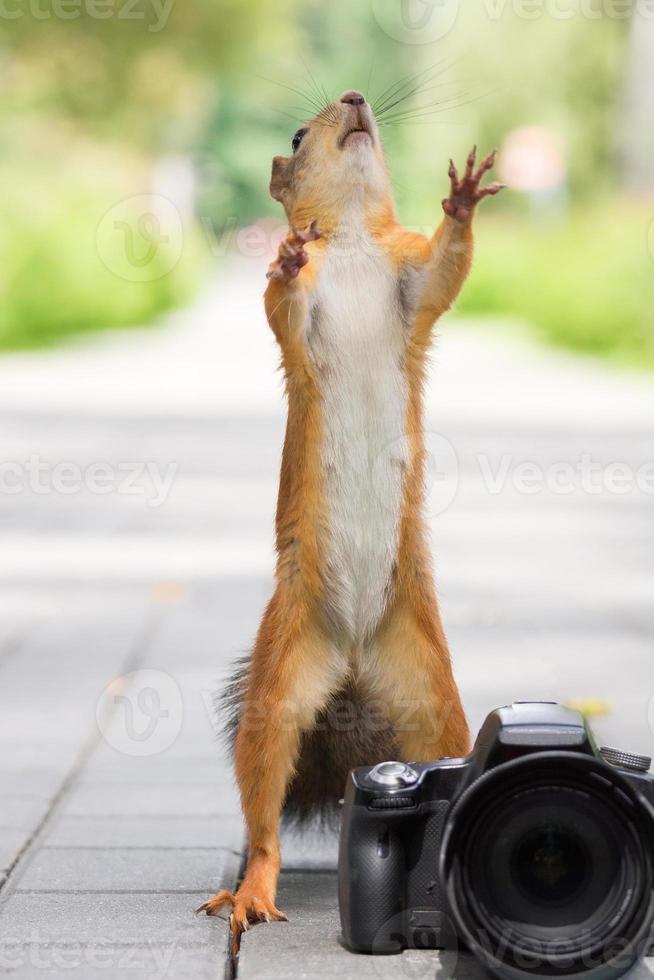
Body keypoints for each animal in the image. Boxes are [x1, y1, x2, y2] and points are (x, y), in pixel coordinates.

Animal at [200, 88, 508, 936]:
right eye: (299, 133)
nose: (356, 99)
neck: (354, 239)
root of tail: (357, 660)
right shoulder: (295, 316)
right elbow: (280, 303)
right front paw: (283, 258)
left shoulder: (412, 280)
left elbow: (446, 268)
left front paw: (462, 198)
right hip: (280, 680)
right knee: (263, 811)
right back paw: (251, 890)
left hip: (431, 691)